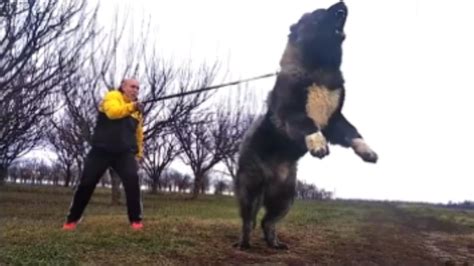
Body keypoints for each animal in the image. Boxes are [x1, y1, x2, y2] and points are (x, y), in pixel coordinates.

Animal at [233, 1, 378, 250]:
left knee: (267, 221)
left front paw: (366, 150)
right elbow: (308, 124)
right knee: (248, 221)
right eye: (319, 14)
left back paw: (274, 244)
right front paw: (318, 145)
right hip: (251, 190)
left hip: (285, 196)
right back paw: (244, 244)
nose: (342, 3)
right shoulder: (291, 115)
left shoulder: (335, 120)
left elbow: (352, 132)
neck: (319, 68)